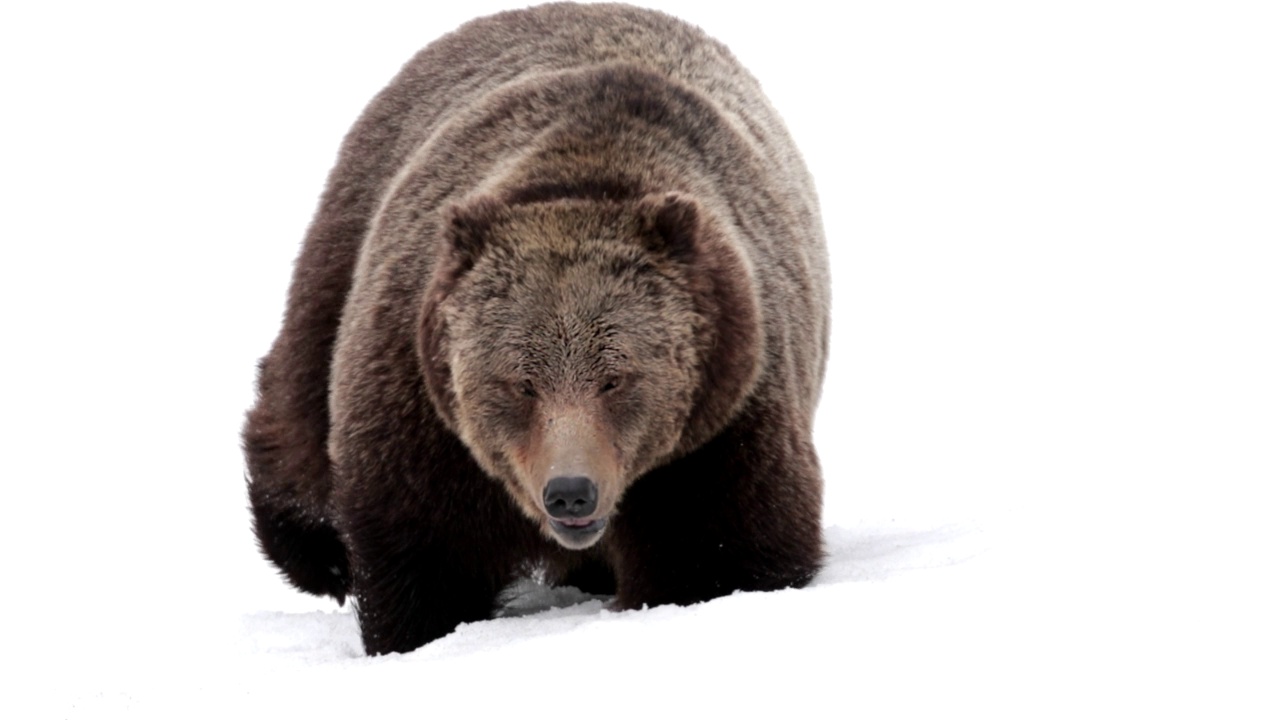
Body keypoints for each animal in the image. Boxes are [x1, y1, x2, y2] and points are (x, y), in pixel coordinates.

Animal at [245, 1, 834, 650]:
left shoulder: (721, 425)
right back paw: (317, 551)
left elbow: (721, 555)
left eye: (616, 378)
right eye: (519, 383)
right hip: (348, 236)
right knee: (301, 400)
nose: (571, 491)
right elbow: (422, 549)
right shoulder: (424, 407)